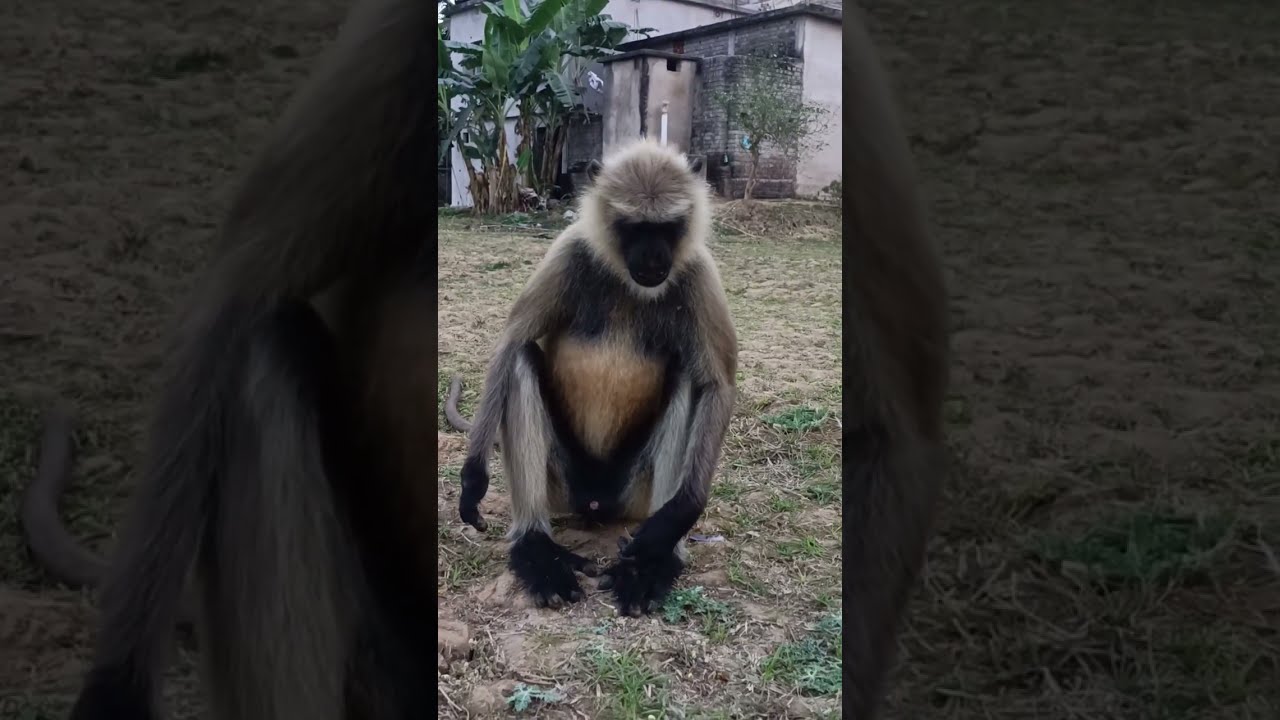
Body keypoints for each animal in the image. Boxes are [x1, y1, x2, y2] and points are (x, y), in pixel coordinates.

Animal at [455, 139, 738, 617]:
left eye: (667, 228)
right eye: (633, 228)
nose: (653, 258)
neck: (629, 283)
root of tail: (596, 500)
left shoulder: (698, 272)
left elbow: (718, 386)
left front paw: (675, 520)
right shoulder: (570, 251)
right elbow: (511, 342)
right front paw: (473, 478)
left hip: (634, 492)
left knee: (689, 378)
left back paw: (655, 562)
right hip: (562, 484)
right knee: (521, 360)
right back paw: (535, 547)